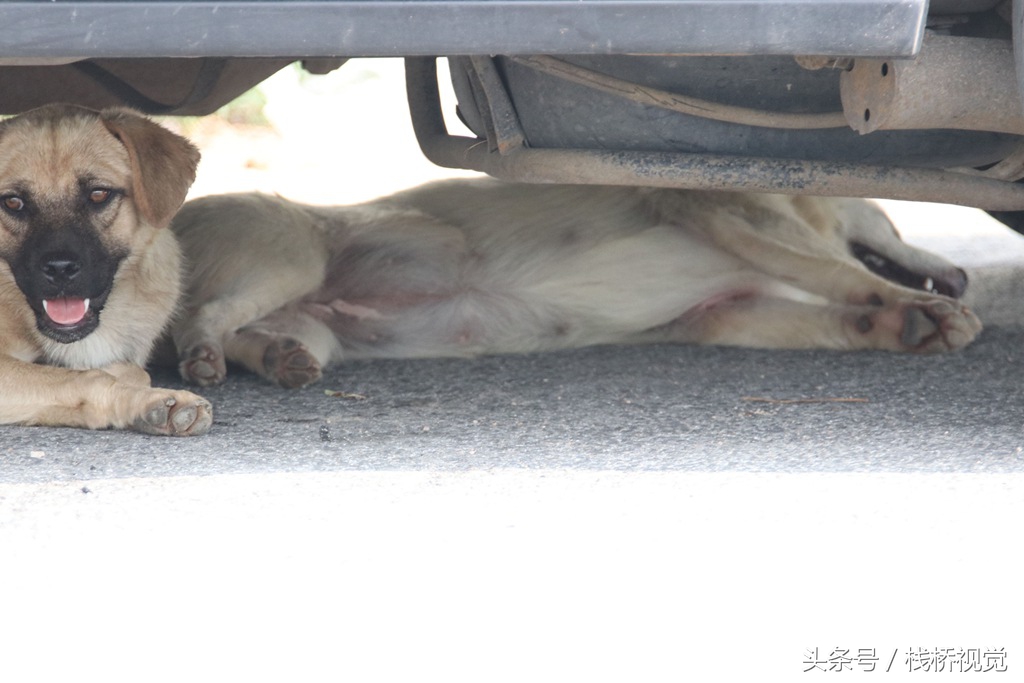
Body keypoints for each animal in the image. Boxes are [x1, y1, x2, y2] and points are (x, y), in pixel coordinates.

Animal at [0, 104, 210, 436]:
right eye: (12, 202)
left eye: (98, 194)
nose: (60, 269)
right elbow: (92, 378)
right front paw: (147, 401)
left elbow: (132, 372)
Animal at [169, 178, 983, 389]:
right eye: (897, 221)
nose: (964, 273)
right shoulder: (723, 214)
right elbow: (839, 269)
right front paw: (924, 307)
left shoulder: (728, 311)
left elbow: (835, 304)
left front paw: (904, 324)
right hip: (293, 258)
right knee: (197, 321)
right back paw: (202, 358)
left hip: (317, 327)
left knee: (253, 337)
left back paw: (277, 361)